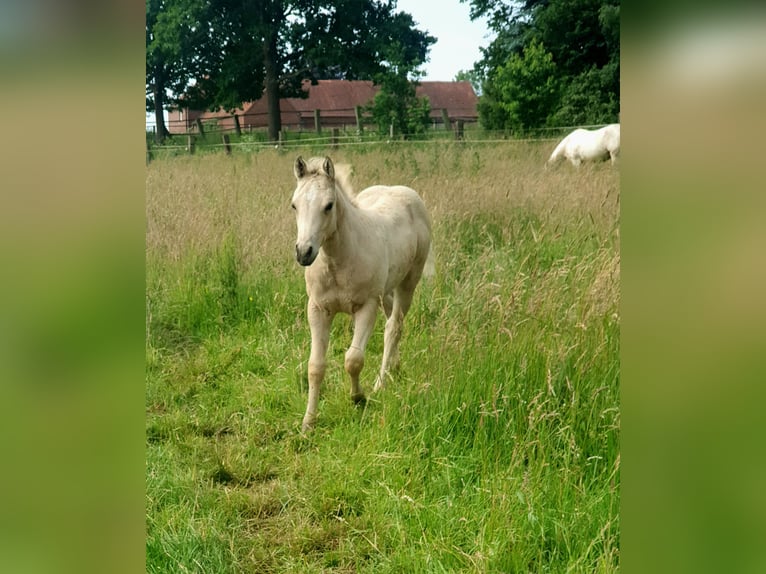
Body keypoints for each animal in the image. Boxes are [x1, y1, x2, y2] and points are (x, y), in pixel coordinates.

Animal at [290, 156, 432, 431]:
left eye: (329, 205)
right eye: (294, 205)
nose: (304, 252)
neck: (338, 260)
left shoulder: (366, 306)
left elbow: (353, 359)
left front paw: (358, 397)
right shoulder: (318, 309)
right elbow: (315, 366)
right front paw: (308, 422)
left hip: (408, 282)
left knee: (393, 326)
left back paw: (380, 382)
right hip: (386, 290)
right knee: (391, 318)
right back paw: (394, 367)